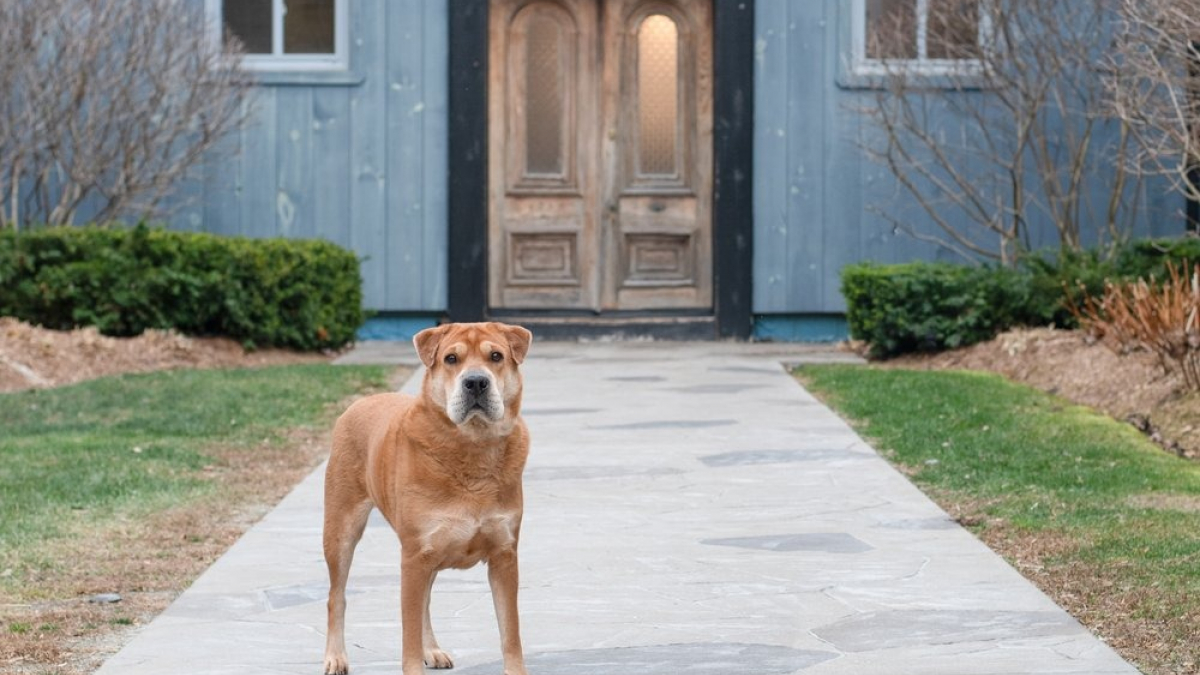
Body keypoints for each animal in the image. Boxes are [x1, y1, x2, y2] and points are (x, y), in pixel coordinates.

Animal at [326, 319, 537, 672]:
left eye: (496, 356)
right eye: (451, 359)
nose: (476, 382)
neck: (471, 446)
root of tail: (361, 401)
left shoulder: (504, 555)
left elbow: (511, 632)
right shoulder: (415, 555)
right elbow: (408, 635)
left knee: (424, 599)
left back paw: (433, 650)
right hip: (341, 530)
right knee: (336, 596)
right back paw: (335, 657)